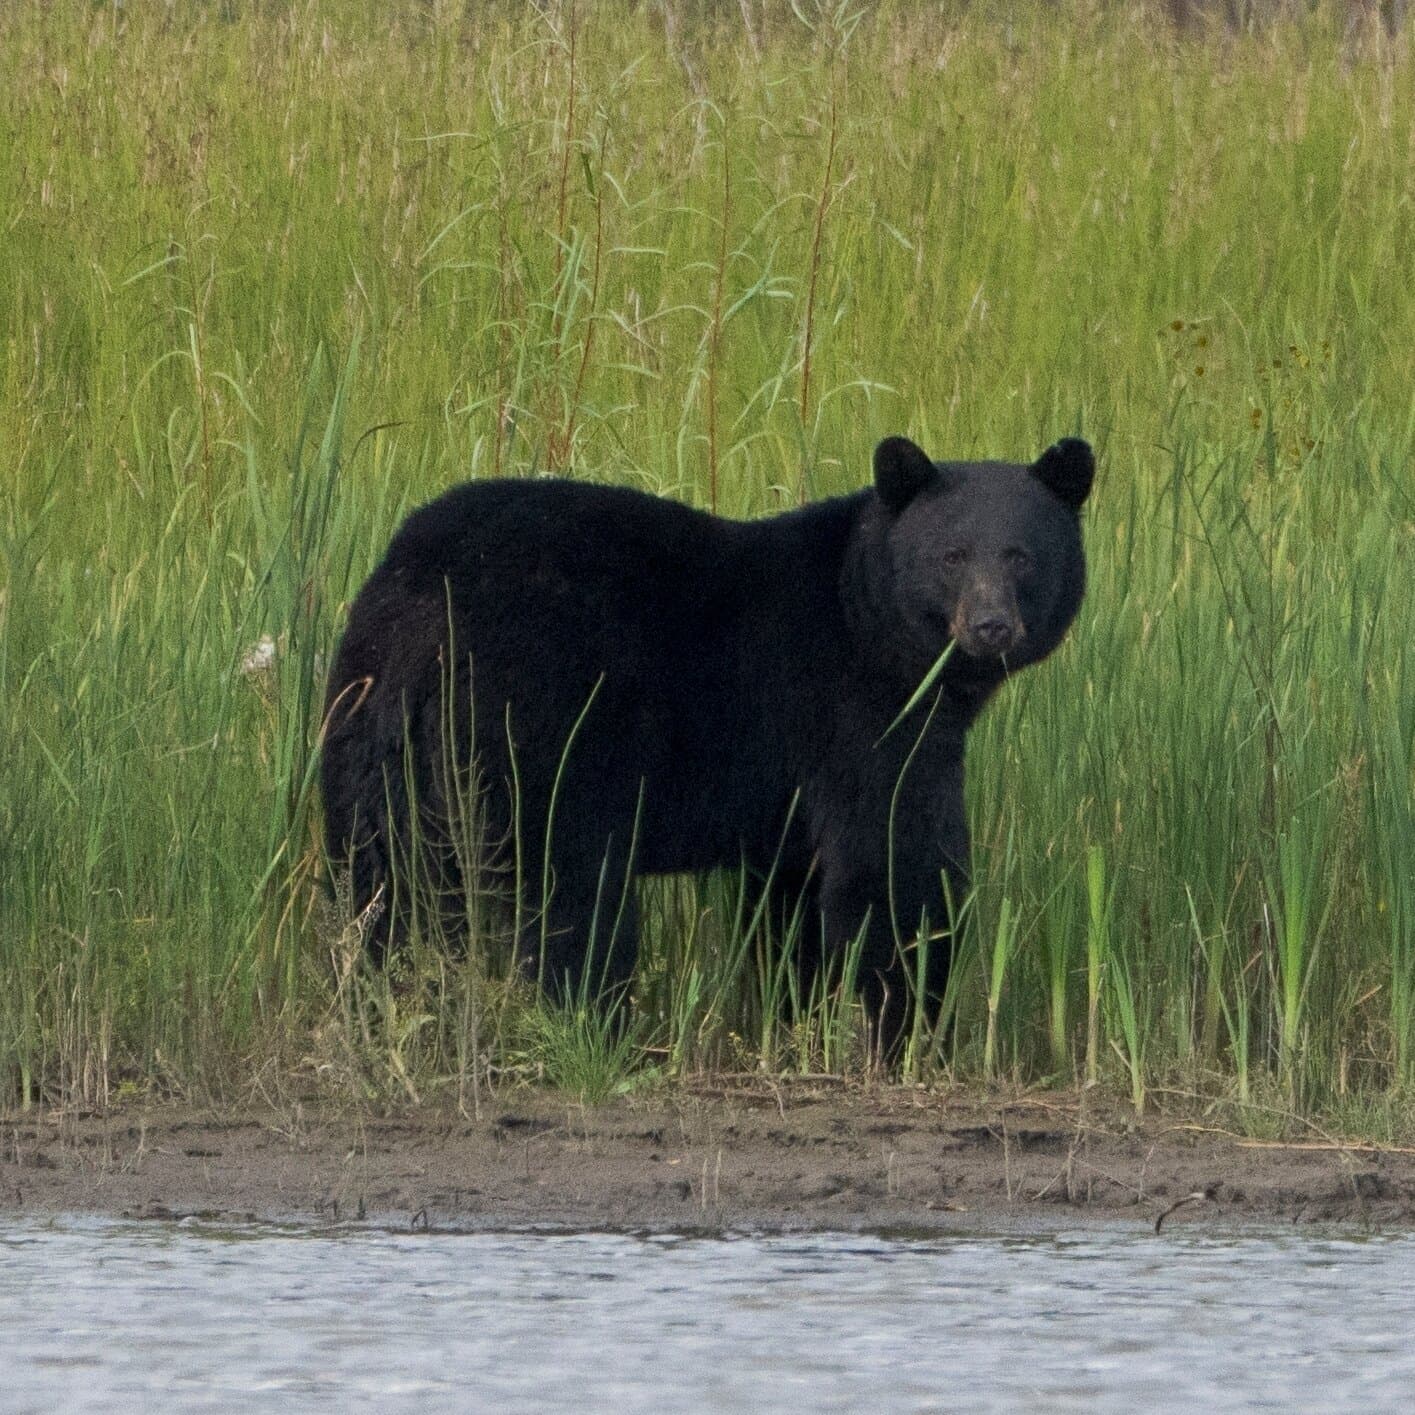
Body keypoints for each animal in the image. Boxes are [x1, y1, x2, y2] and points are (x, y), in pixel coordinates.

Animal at [320, 434, 1093, 1056]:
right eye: (952, 555)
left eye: (1022, 556)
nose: (990, 626)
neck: (865, 615)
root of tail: (427, 595)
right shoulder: (858, 715)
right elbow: (896, 868)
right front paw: (911, 1035)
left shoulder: (789, 801)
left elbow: (791, 905)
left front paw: (796, 1023)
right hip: (539, 734)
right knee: (572, 897)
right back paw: (598, 1032)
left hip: (367, 724)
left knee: (375, 883)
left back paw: (373, 1010)